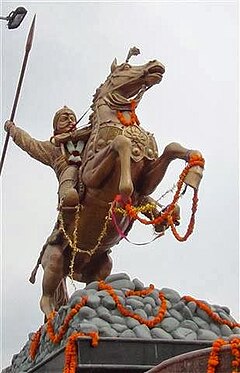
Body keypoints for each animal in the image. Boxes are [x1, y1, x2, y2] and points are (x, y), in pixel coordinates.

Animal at [39, 55, 202, 316]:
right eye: (125, 68)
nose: (155, 64)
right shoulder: (91, 176)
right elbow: (122, 143)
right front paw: (124, 194)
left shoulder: (147, 179)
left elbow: (171, 148)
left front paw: (195, 165)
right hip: (53, 260)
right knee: (47, 296)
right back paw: (52, 314)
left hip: (103, 263)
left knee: (94, 281)